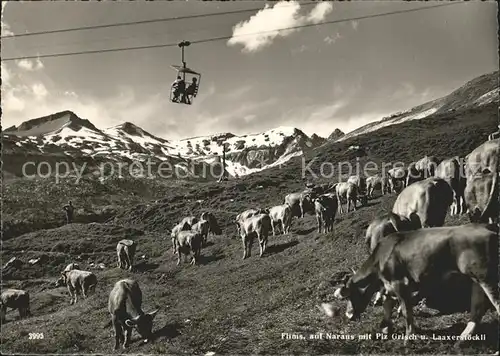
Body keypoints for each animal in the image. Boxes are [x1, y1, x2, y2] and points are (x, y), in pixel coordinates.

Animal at [330, 225, 498, 344]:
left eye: (350, 295)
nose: (348, 316)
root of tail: (489, 228)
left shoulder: (399, 283)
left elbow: (406, 311)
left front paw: (408, 337)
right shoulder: (389, 286)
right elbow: (387, 305)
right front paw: (385, 329)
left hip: (486, 277)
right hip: (476, 280)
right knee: (478, 309)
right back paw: (462, 340)